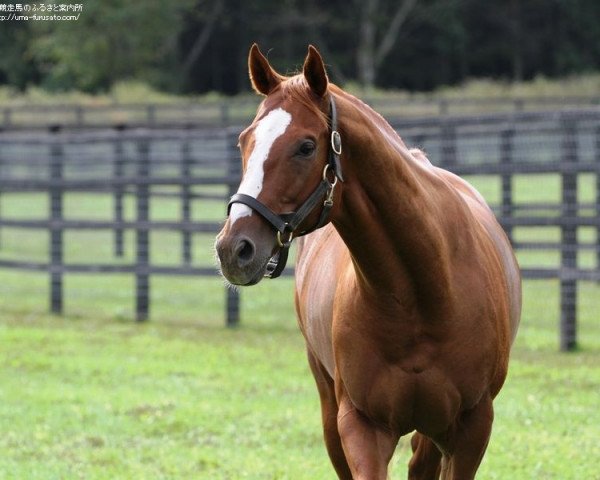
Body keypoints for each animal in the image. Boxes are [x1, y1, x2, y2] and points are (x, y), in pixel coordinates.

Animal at [216, 45, 520, 480]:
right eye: (245, 141)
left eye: (306, 146)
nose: (233, 249)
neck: (422, 294)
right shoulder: (362, 426)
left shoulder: (470, 430)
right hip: (331, 411)